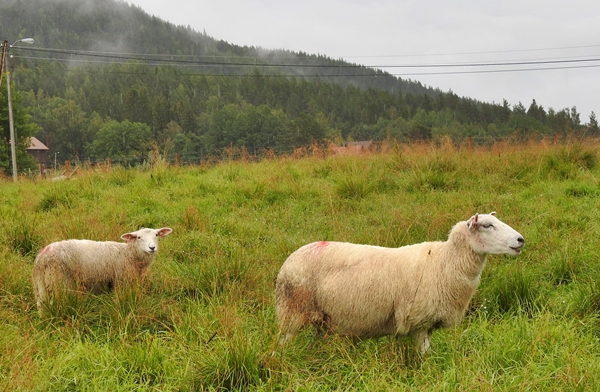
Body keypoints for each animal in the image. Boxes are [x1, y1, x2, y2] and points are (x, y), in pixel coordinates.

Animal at [32, 227, 172, 312]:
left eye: (156, 235)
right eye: (138, 237)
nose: (152, 247)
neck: (129, 254)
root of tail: (43, 257)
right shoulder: (120, 281)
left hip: (41, 284)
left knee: (41, 306)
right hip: (60, 282)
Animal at [276, 213, 524, 354]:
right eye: (487, 225)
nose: (521, 239)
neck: (445, 261)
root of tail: (290, 259)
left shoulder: (429, 324)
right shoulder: (420, 322)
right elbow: (424, 357)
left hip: (321, 319)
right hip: (293, 311)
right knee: (281, 344)